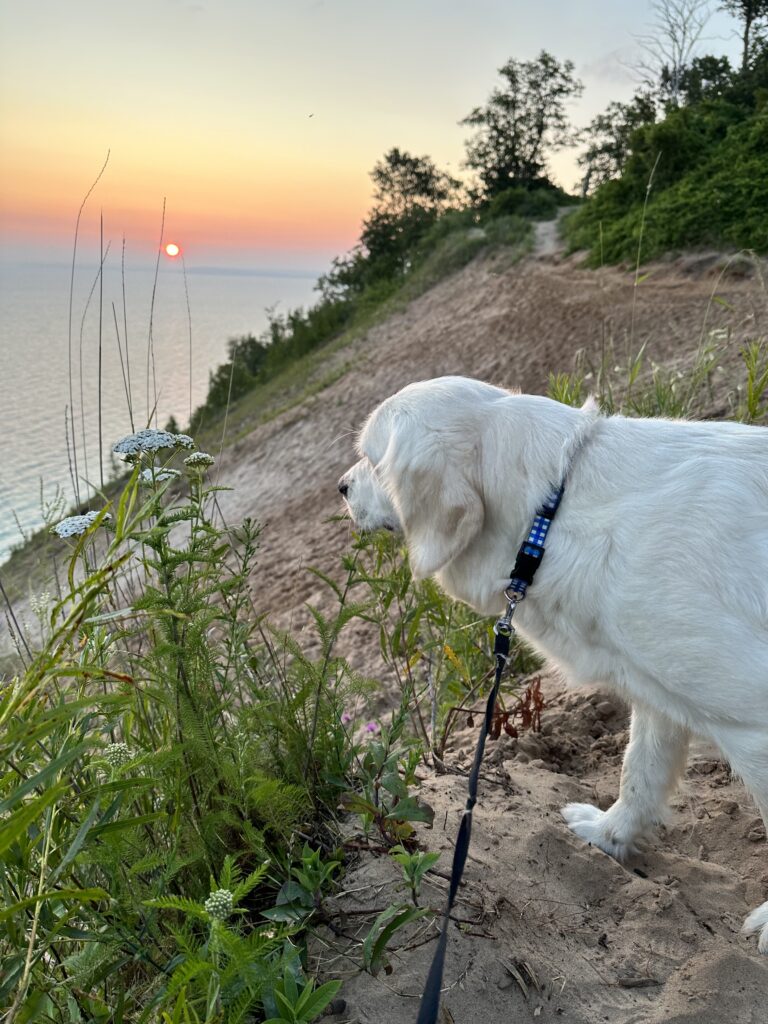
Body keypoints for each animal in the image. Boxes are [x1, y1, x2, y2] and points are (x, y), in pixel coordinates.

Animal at [338, 375, 768, 953]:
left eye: (370, 457)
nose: (340, 487)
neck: (553, 512)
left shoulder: (752, 721)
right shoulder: (658, 693)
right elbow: (639, 772)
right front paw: (609, 835)